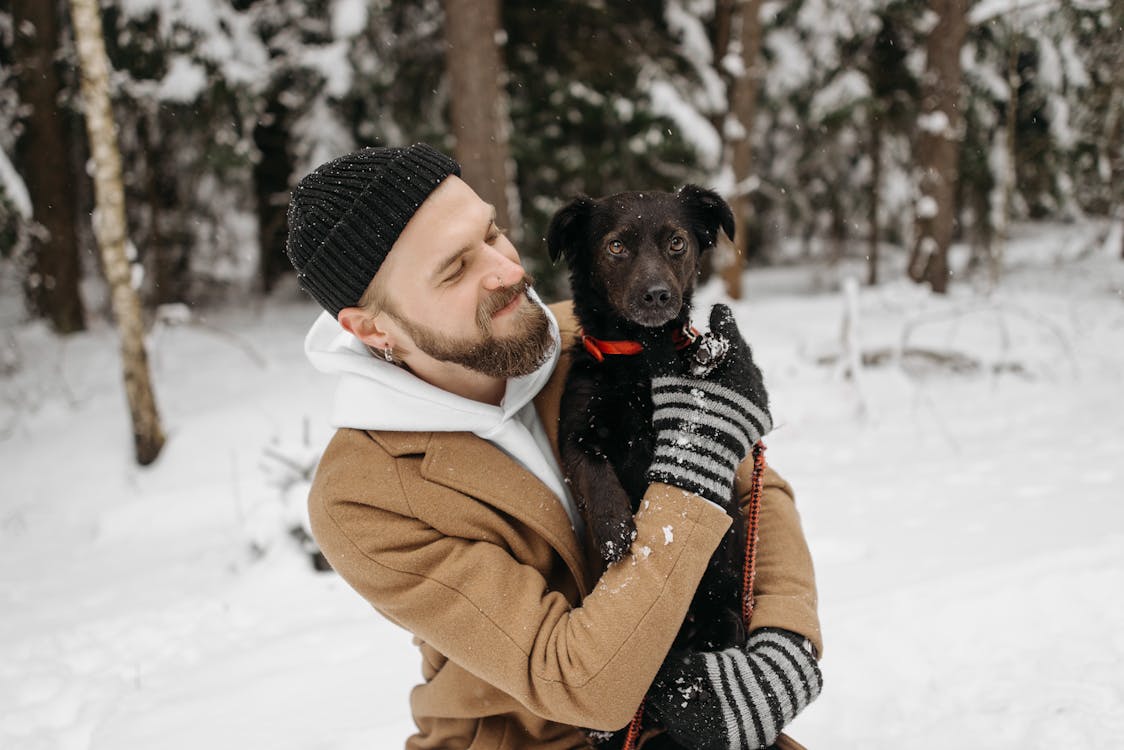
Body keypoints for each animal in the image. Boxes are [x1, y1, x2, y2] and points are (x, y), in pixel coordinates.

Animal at [548, 186, 750, 746]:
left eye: (676, 242)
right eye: (616, 246)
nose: (659, 295)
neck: (639, 359)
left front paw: (709, 353)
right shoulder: (575, 432)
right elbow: (594, 474)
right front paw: (616, 530)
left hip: (721, 608)